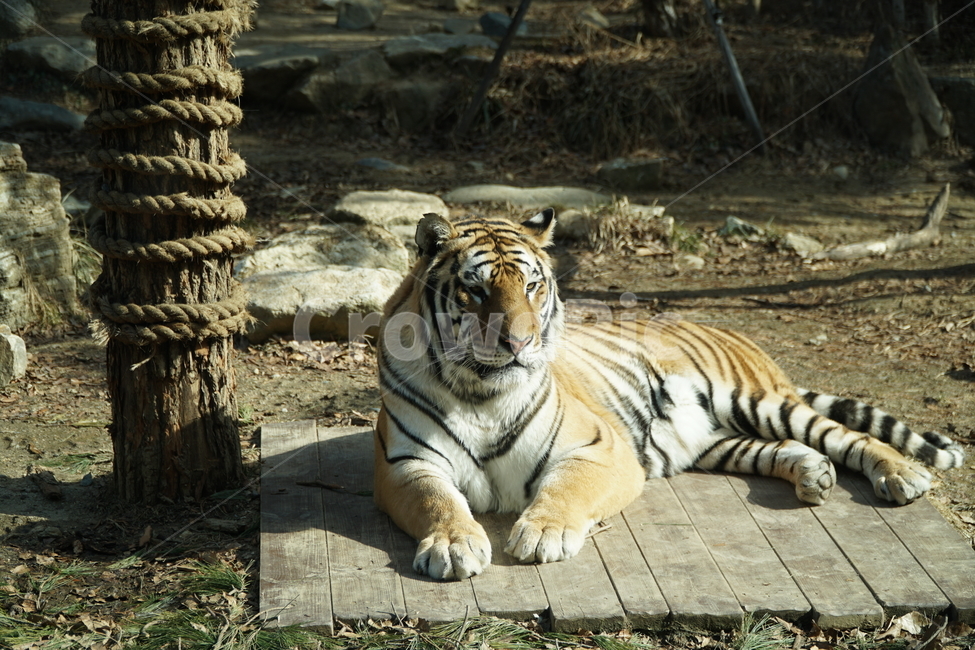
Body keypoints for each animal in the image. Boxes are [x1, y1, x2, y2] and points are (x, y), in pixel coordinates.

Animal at [373, 209, 966, 581]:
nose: (520, 343)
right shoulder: (407, 463)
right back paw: (814, 476)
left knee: (844, 435)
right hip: (715, 441)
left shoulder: (599, 448)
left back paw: (903, 475)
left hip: (755, 401)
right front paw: (453, 545)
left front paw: (544, 533)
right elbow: (436, 500)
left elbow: (565, 489)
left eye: (532, 286)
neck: (482, 395)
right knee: (782, 451)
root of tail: (731, 330)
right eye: (474, 290)